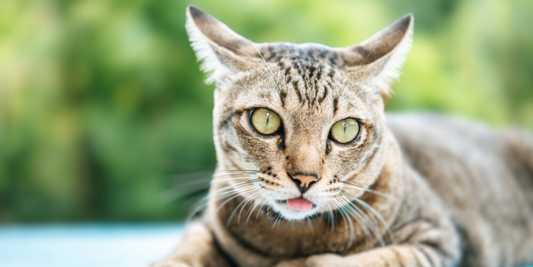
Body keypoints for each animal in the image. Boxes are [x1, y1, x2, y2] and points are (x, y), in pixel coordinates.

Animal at [149, 6, 532, 267]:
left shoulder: (438, 241)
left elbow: (351, 261)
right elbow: (188, 249)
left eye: (345, 129)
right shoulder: (206, 224)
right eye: (265, 120)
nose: (305, 178)